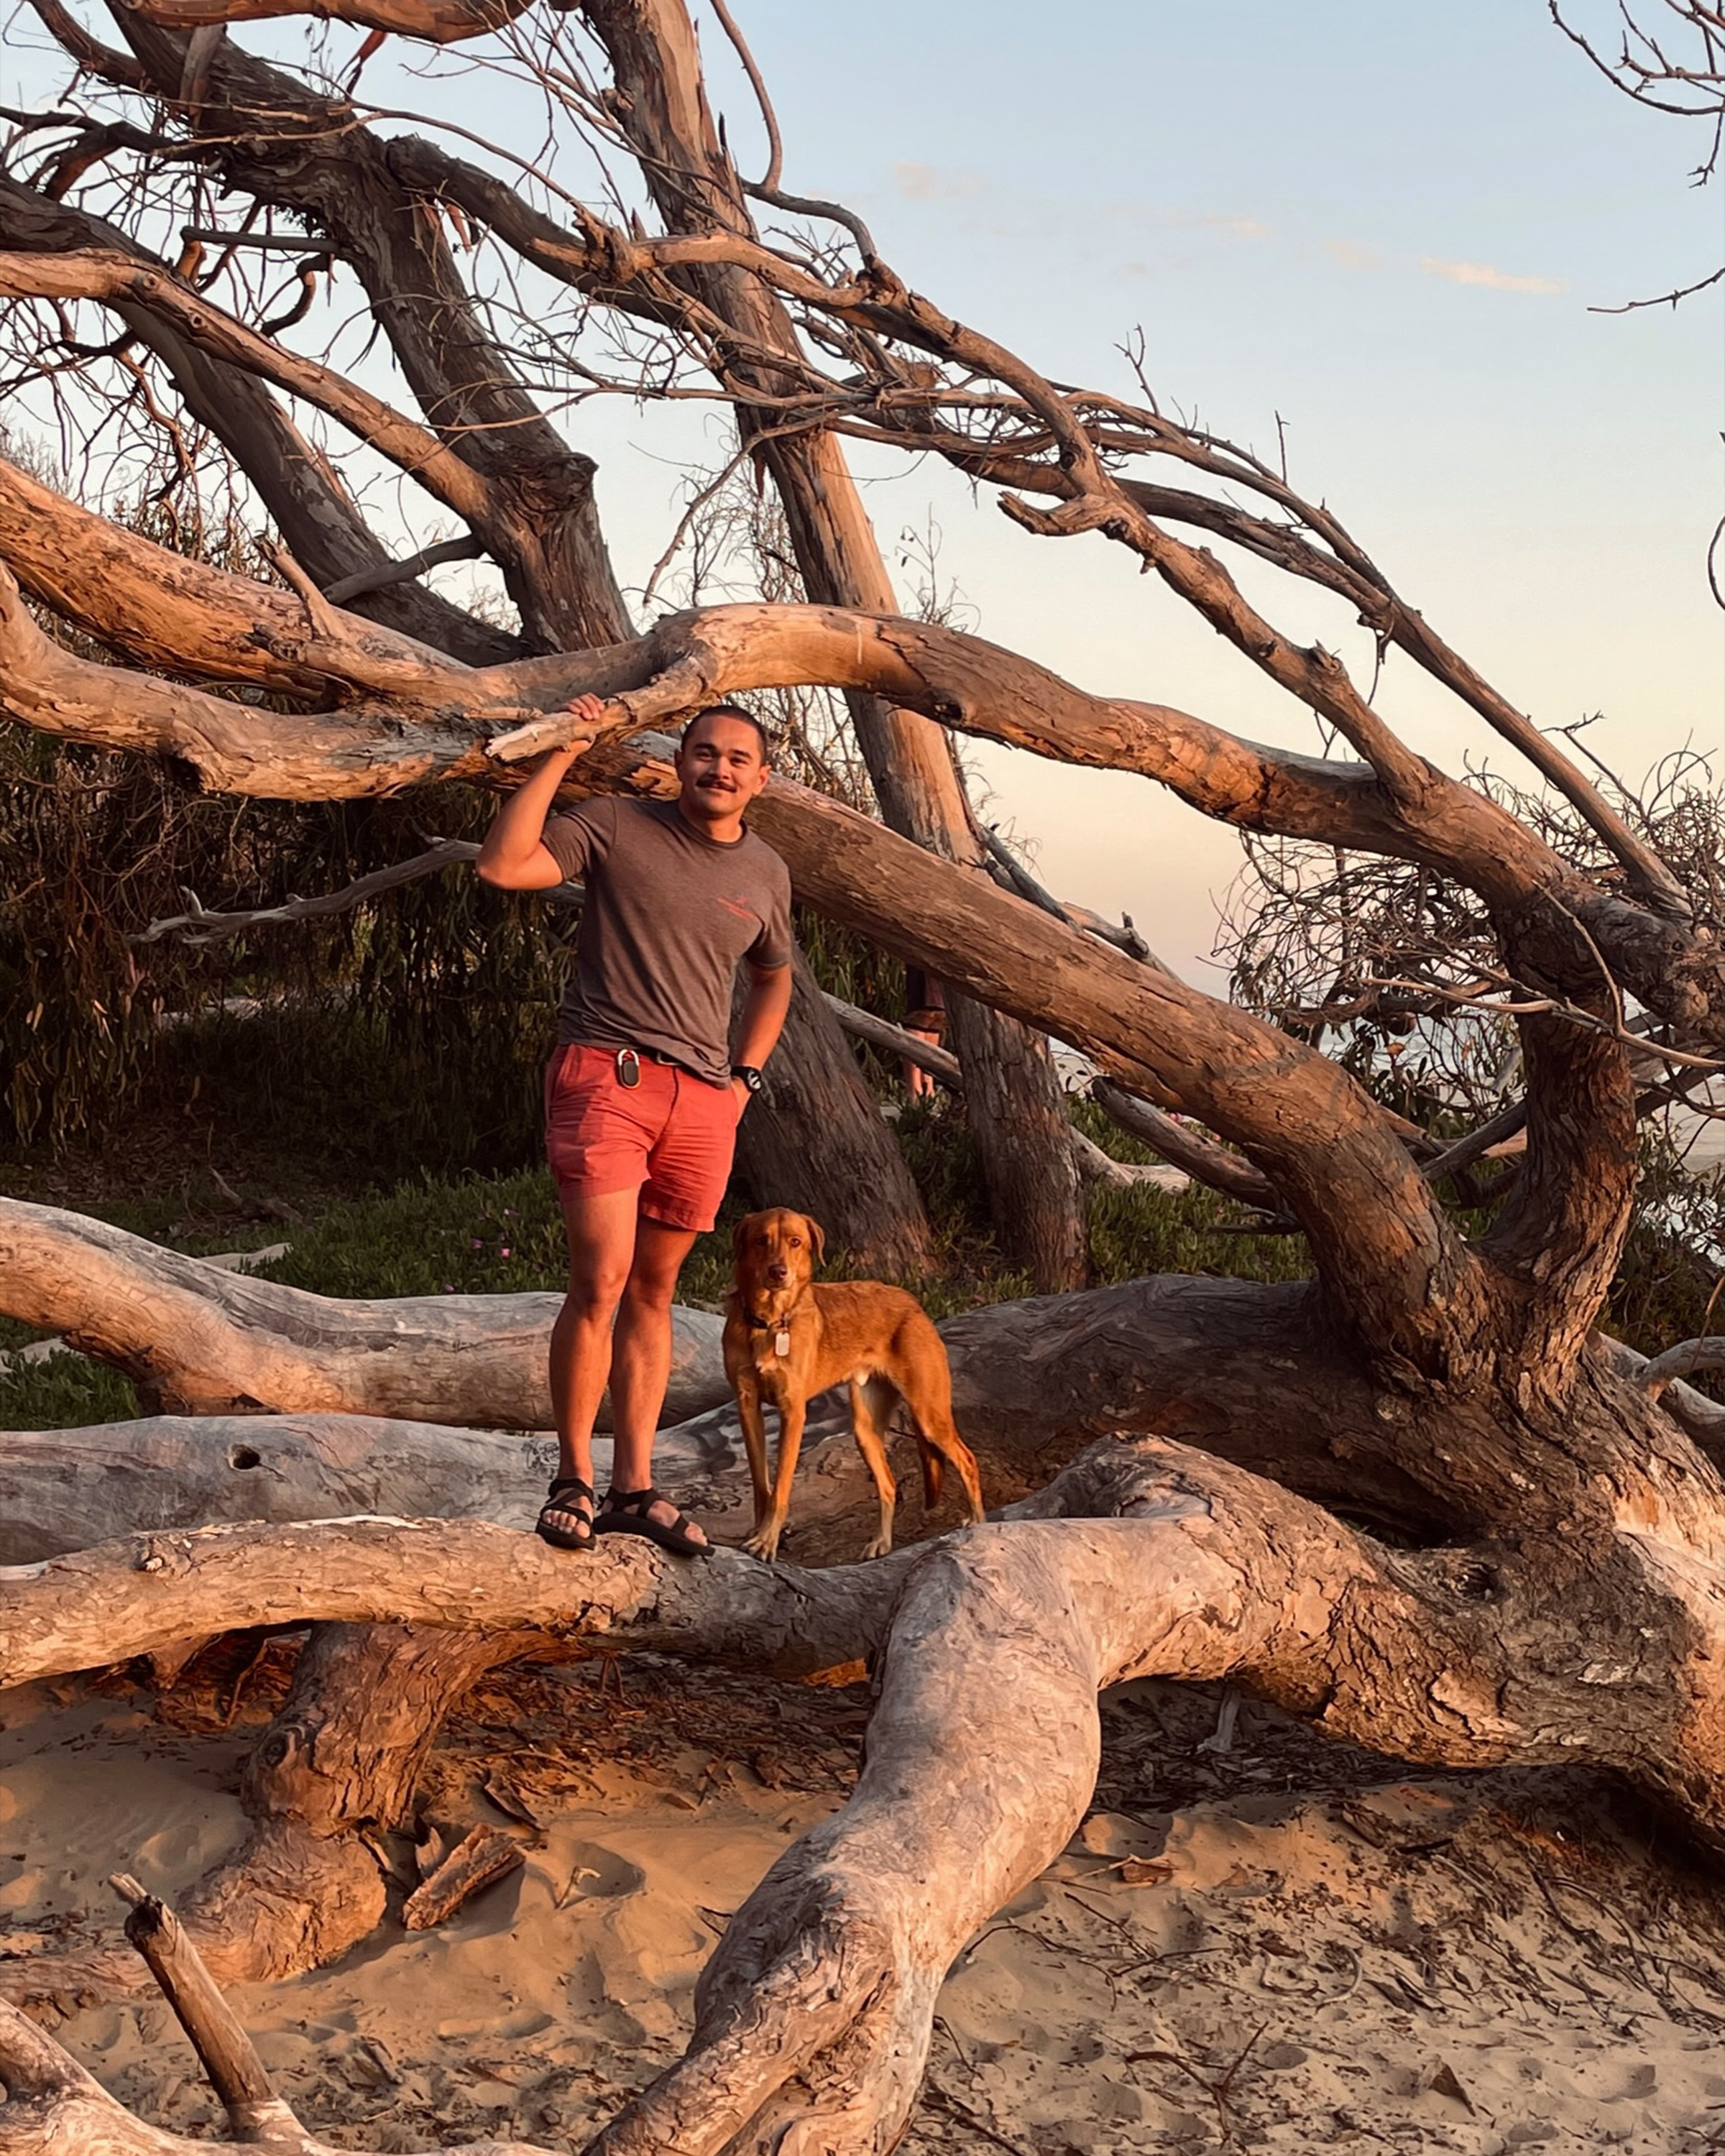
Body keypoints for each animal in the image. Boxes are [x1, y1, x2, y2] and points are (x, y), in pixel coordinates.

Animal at [716, 1207, 983, 1561]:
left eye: (795, 1242)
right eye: (761, 1240)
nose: (778, 1272)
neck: (770, 1322)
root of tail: (911, 1301)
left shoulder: (793, 1412)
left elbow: (781, 1486)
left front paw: (767, 1540)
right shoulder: (748, 1406)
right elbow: (761, 1484)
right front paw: (759, 1532)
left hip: (929, 1414)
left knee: (967, 1461)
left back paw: (979, 1524)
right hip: (865, 1430)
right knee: (889, 1484)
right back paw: (881, 1542)